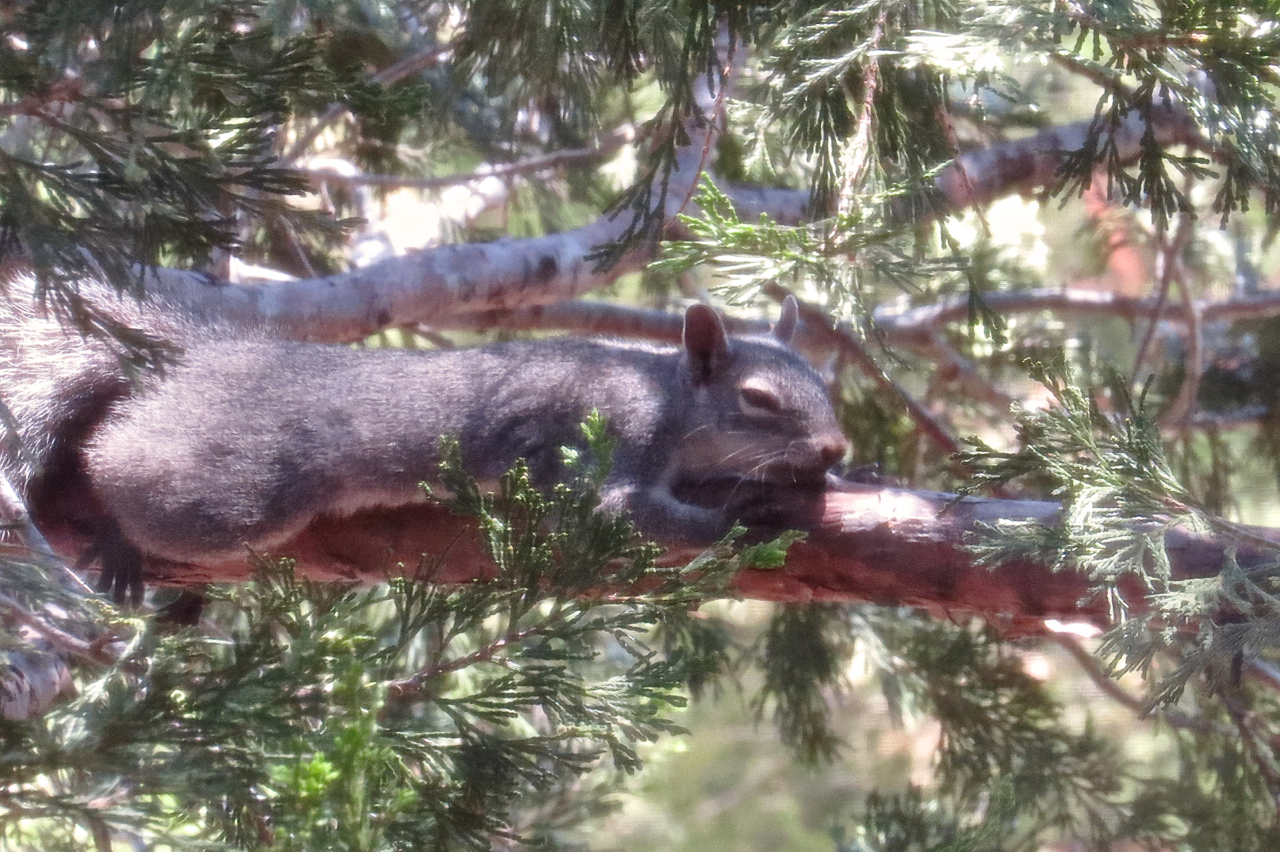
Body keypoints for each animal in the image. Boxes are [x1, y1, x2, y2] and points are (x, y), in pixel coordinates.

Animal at [1, 283, 849, 603]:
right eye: (758, 402)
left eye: (825, 380)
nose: (837, 450)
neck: (669, 396)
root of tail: (192, 361)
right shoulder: (615, 441)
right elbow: (625, 511)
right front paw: (745, 520)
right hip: (236, 491)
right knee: (112, 461)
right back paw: (113, 525)